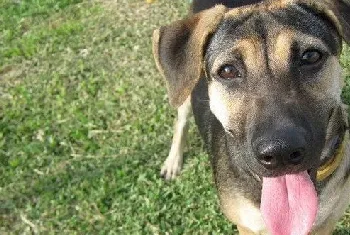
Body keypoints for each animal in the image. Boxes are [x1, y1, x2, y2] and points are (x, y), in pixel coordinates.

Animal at [152, 0, 350, 234]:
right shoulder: (246, 226)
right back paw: (173, 161)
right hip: (183, 90)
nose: (281, 153)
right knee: (180, 121)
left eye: (310, 56)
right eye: (228, 71)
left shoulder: (327, 222)